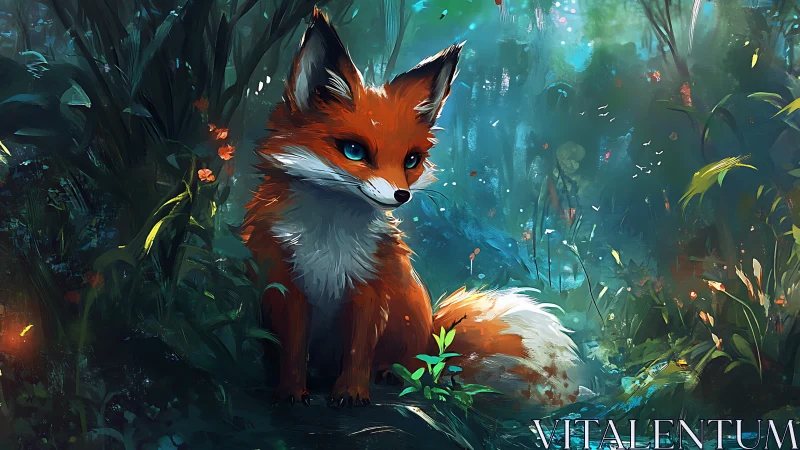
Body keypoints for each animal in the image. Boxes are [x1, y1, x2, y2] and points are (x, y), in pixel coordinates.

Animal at [242, 8, 580, 408]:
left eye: (411, 160)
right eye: (354, 150)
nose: (402, 195)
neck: (329, 239)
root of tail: (434, 334)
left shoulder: (371, 288)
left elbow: (358, 352)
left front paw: (352, 392)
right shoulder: (286, 285)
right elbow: (293, 350)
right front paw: (291, 391)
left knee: (414, 368)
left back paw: (392, 374)